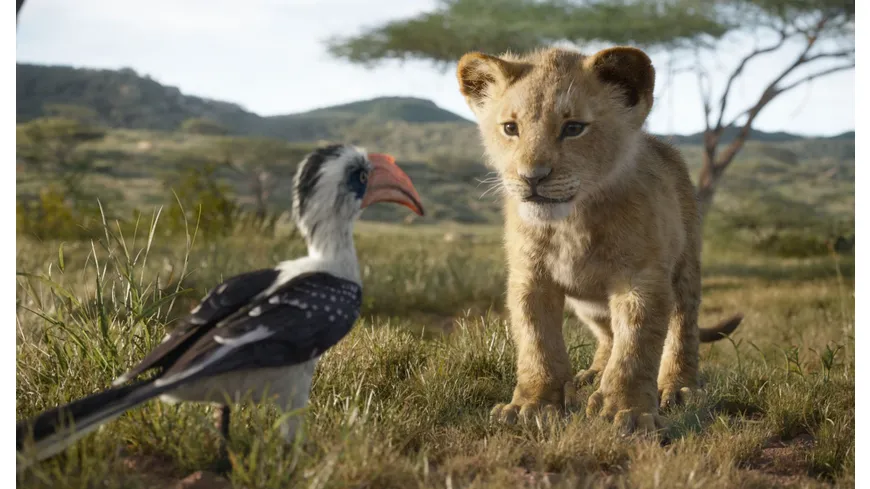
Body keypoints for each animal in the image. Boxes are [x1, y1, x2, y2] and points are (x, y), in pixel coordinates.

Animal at [455, 46, 743, 433]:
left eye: (573, 128)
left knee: (683, 328)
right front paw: (532, 405)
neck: (571, 223)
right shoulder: (530, 278)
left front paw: (628, 411)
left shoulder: (641, 278)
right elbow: (537, 343)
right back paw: (591, 376)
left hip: (685, 268)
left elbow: (636, 347)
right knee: (607, 335)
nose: (532, 177)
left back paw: (678, 387)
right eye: (510, 128)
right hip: (588, 304)